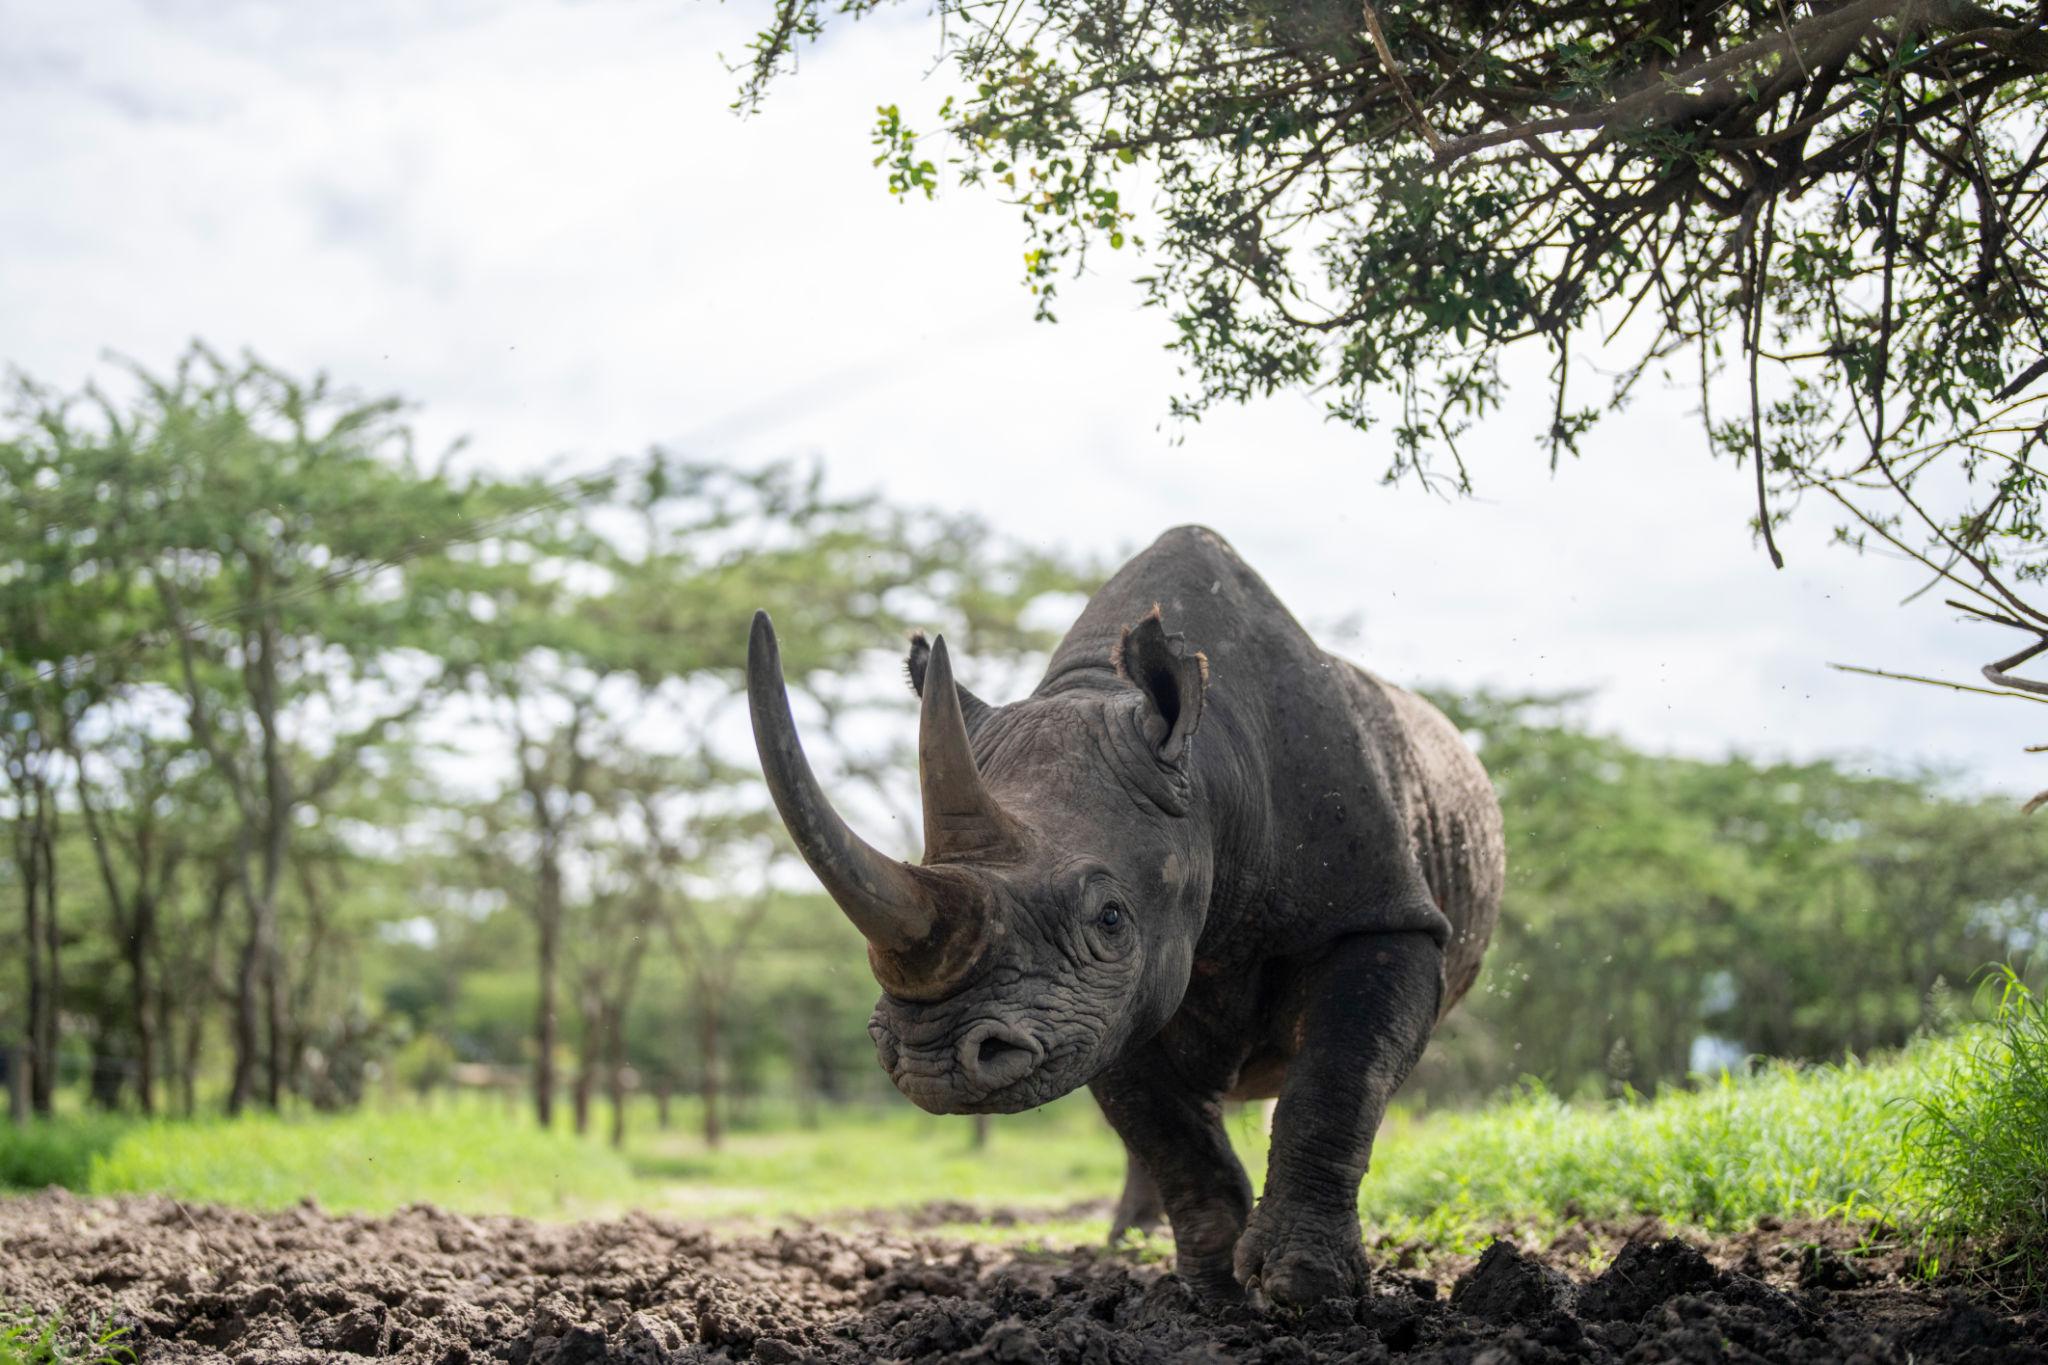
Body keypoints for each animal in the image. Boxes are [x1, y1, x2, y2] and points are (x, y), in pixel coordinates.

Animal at [747, 525, 1502, 1306]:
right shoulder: (1104, 1005)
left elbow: (1338, 1080)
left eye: (1110, 918)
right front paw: (1214, 1295)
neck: (1211, 770)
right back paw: (1129, 1241)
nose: (931, 1062)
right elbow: (1167, 1133)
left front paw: (1305, 1288)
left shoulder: (1380, 914)